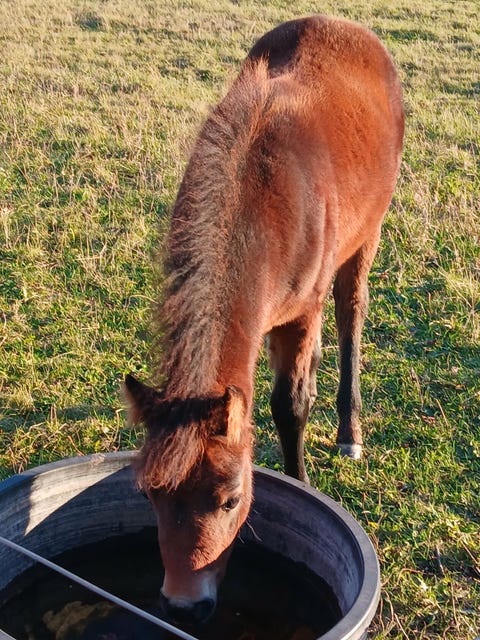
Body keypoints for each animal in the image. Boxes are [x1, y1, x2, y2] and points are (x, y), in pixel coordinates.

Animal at [124, 14, 404, 625]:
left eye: (230, 499)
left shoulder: (301, 312)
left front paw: (305, 484)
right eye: (150, 495)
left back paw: (349, 432)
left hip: (365, 238)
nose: (183, 607)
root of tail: (349, 28)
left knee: (351, 315)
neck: (258, 204)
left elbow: (288, 406)